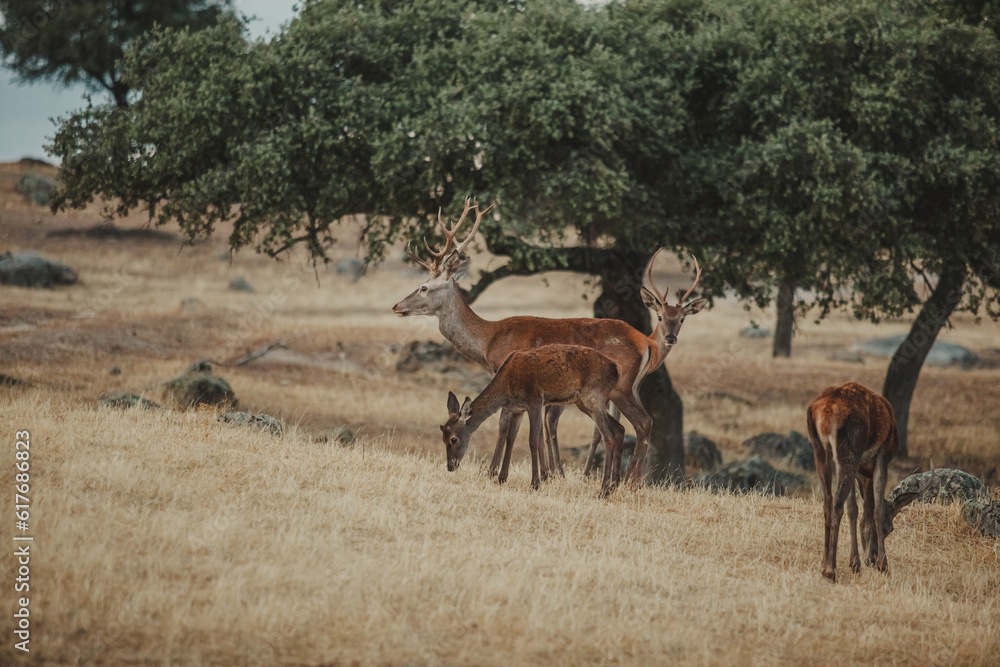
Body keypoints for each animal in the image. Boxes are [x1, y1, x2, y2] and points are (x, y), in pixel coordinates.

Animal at [440, 345, 625, 496]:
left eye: (453, 439)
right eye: (443, 438)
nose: (450, 466)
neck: (506, 388)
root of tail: (616, 370)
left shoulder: (535, 400)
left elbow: (533, 440)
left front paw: (535, 483)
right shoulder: (517, 409)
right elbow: (511, 438)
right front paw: (502, 478)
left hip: (593, 396)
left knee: (608, 435)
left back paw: (603, 490)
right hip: (584, 402)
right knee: (619, 429)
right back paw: (613, 486)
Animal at [806, 382, 936, 582]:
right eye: (890, 529)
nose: (872, 559)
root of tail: (824, 411)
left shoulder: (861, 468)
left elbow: (854, 508)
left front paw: (855, 563)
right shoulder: (882, 454)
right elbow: (876, 509)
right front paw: (883, 564)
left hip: (819, 449)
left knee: (828, 500)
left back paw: (824, 565)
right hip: (849, 450)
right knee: (837, 502)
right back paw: (830, 570)